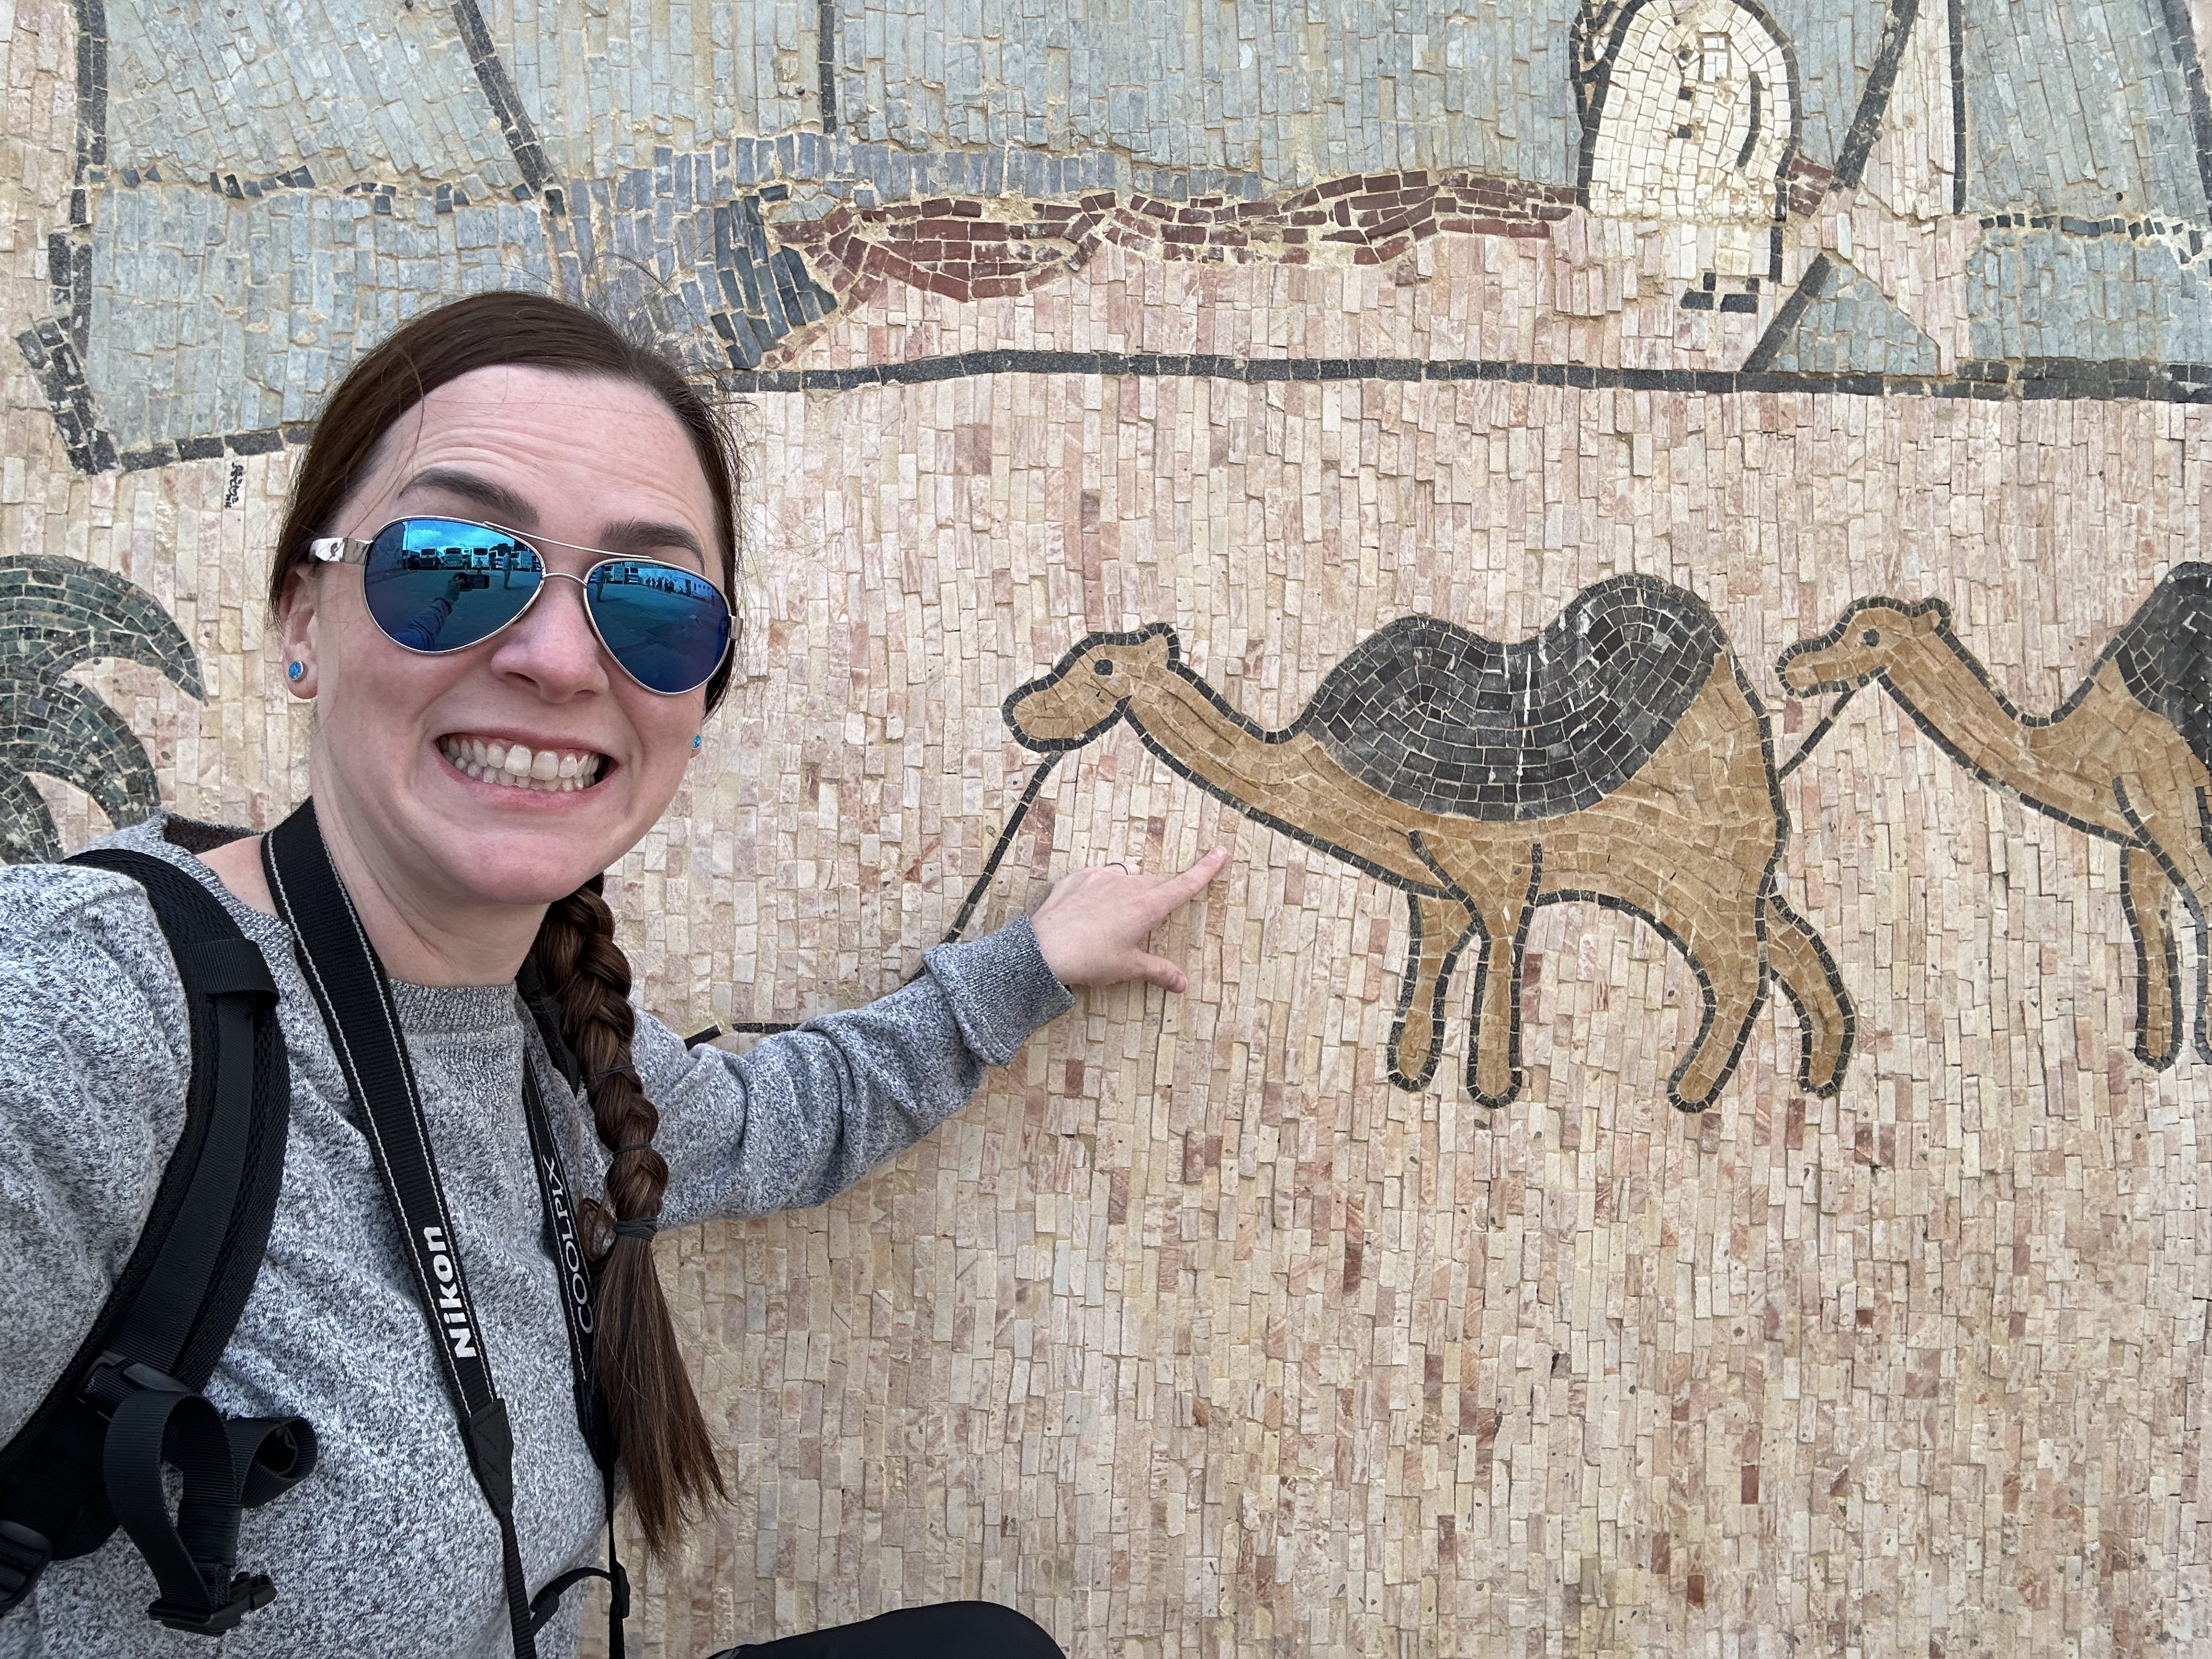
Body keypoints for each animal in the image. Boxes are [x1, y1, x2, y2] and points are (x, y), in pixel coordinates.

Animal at [1005, 576, 1854, 1111]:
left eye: (1101, 663)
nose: (1023, 713)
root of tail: (1730, 673)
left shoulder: (1500, 868)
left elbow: (1501, 962)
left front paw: (1495, 1087)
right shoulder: (1432, 887)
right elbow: (1434, 968)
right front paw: (1414, 1069)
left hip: (1696, 854)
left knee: (1741, 969)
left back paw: (1693, 1088)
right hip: (1698, 864)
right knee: (1789, 942)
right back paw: (1818, 1073)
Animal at [1779, 573, 2212, 1069]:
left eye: (1869, 635)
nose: (1791, 670)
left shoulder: (2167, 795)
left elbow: (2203, 900)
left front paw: (2202, 1046)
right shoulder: (2141, 835)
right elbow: (2152, 926)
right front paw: (2155, 1053)